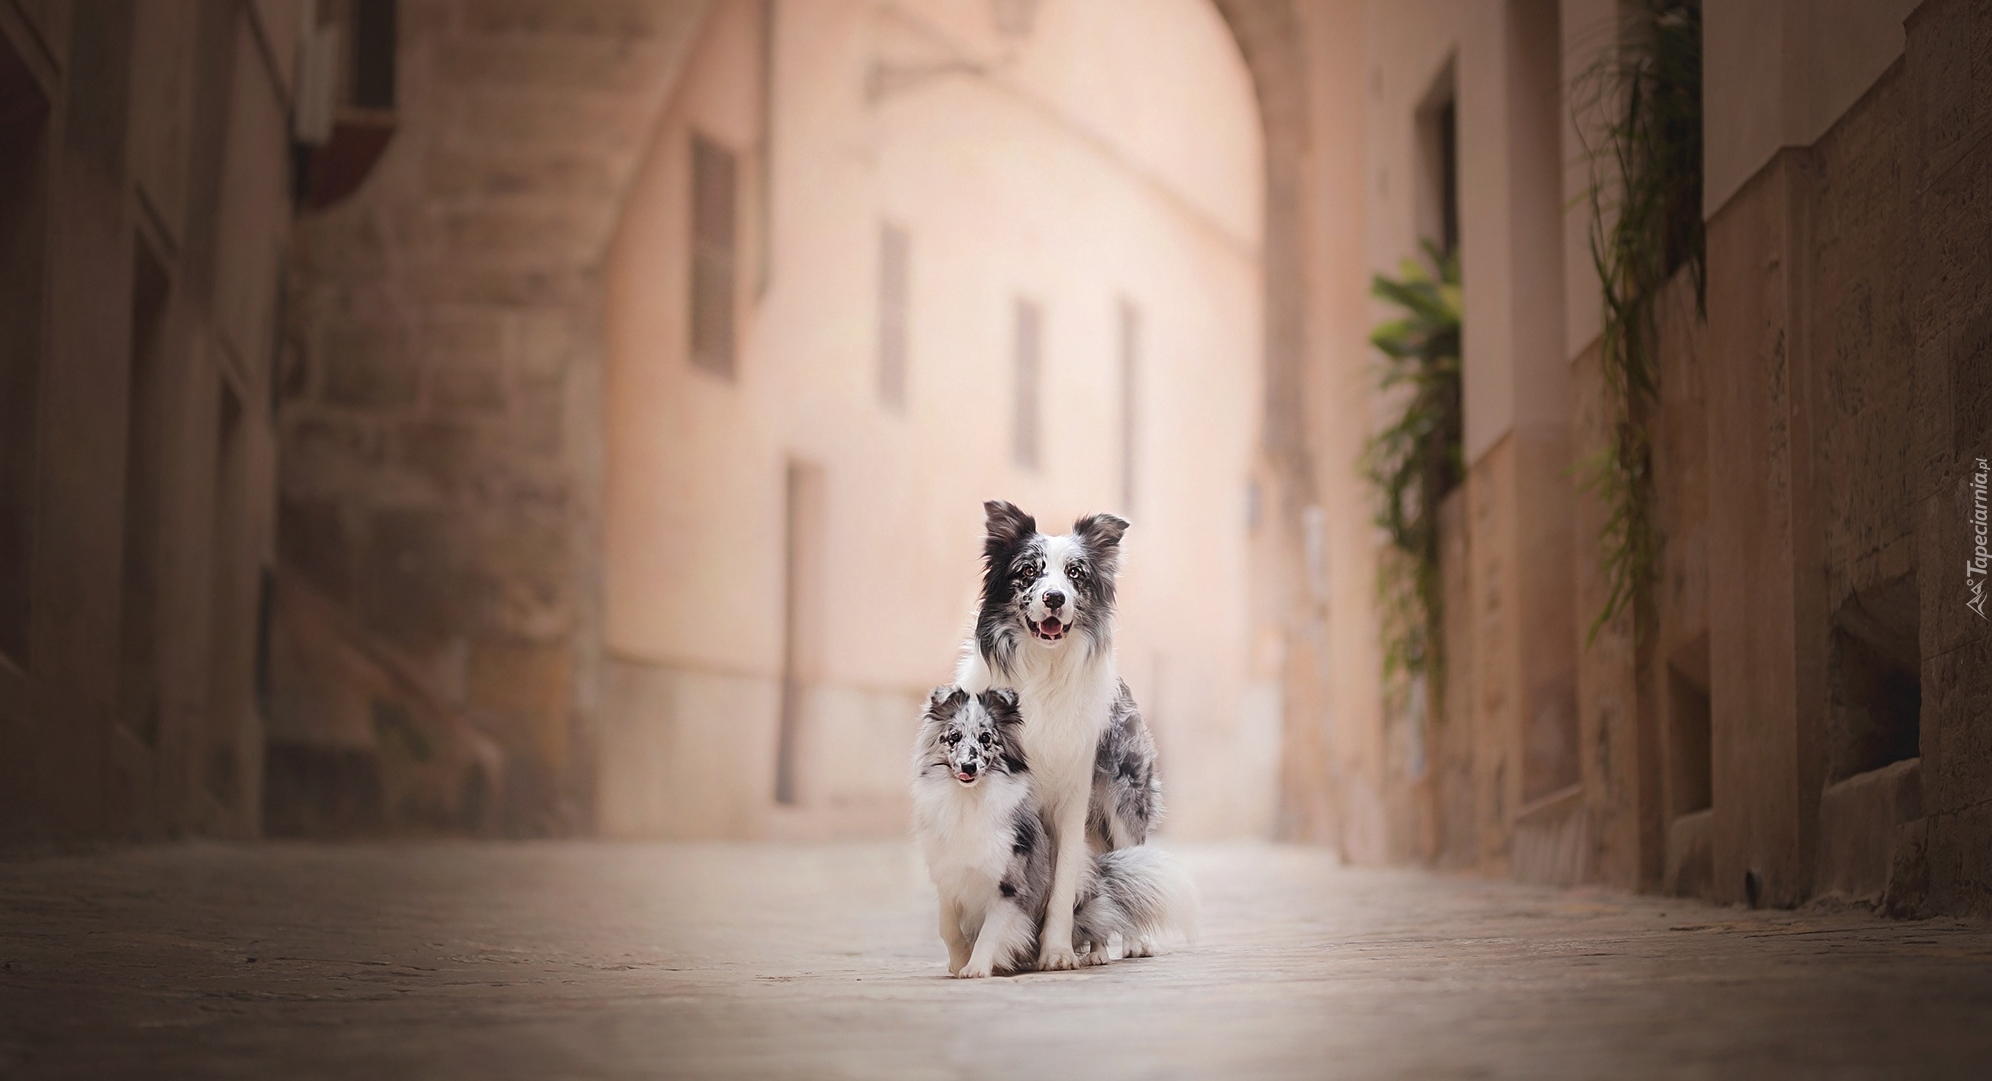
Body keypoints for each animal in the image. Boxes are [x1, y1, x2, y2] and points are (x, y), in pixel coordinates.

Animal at [908, 692, 1195, 979]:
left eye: (986, 738)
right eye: (953, 737)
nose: (969, 766)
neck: (969, 800)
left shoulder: (1011, 886)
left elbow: (990, 932)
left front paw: (977, 968)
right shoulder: (947, 874)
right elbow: (948, 926)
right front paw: (960, 963)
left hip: (1118, 817)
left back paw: (1117, 948)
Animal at [956, 501, 1171, 971]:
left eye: (1075, 574)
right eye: (1028, 571)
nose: (1054, 598)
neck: (1045, 670)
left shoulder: (1072, 799)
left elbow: (1062, 887)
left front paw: (1055, 952)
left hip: (1124, 802)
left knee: (1128, 865)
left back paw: (1133, 942)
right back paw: (1095, 950)